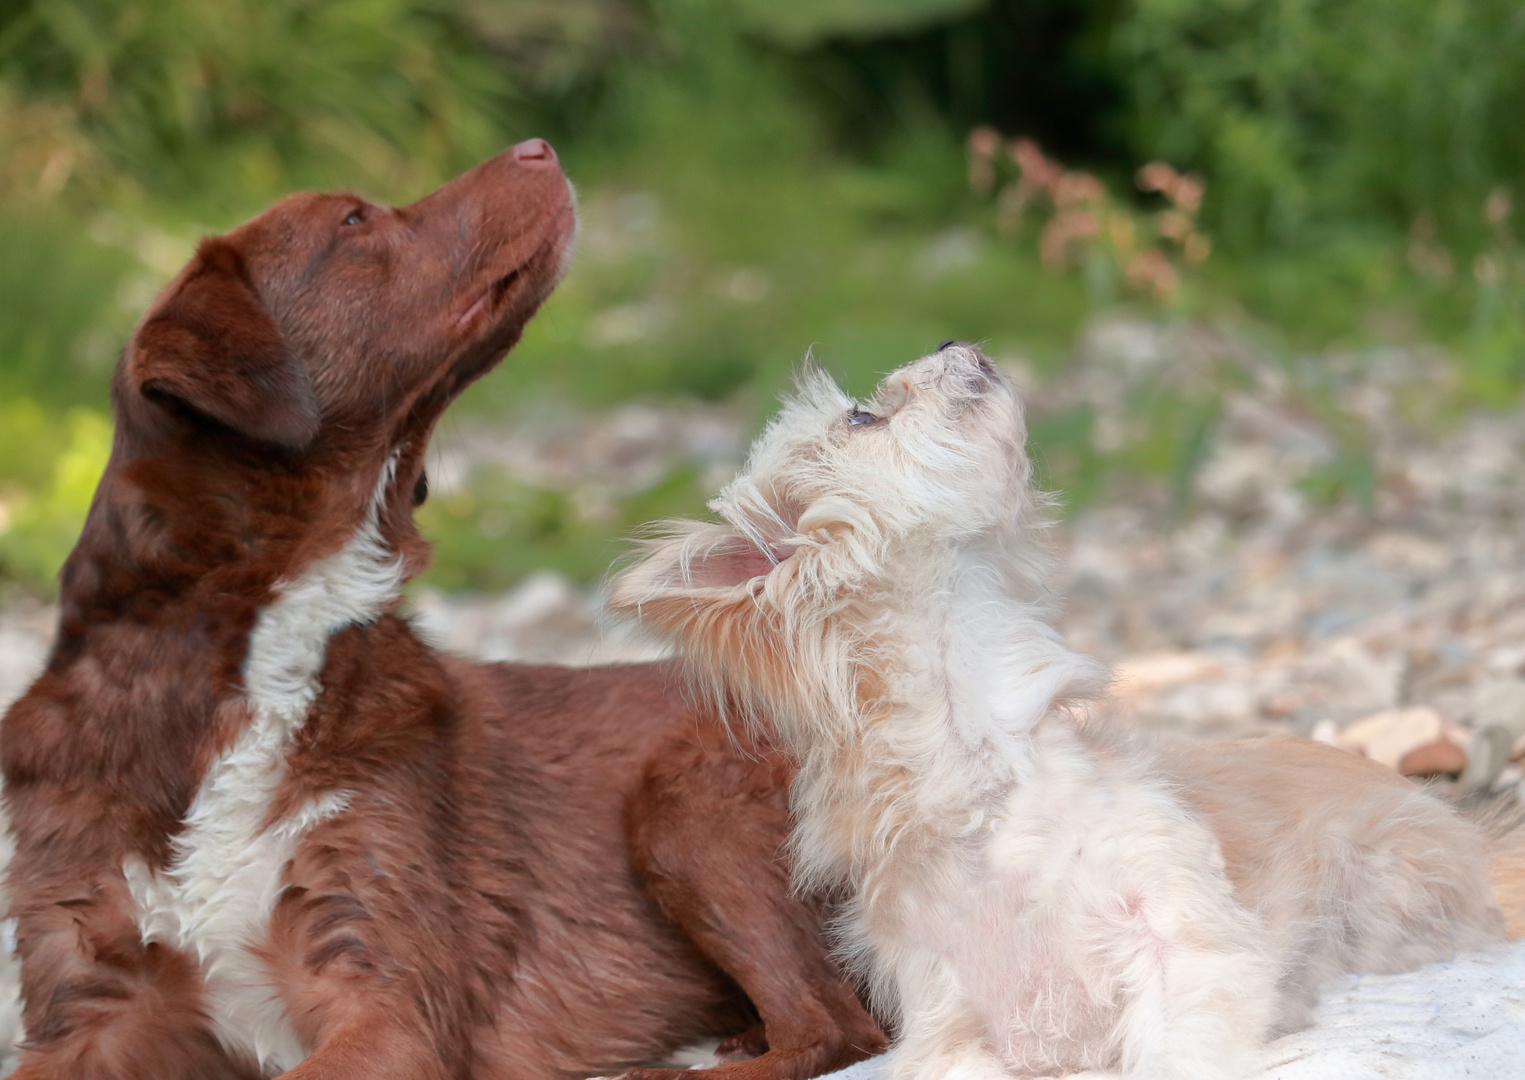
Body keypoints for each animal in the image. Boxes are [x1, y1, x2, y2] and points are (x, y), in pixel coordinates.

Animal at [2, 141, 884, 1080]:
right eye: (354, 221)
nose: (537, 146)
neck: (249, 660)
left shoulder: (384, 1001)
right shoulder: (89, 1006)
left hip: (684, 798)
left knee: (833, 1027)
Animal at [613, 347, 1518, 1080]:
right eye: (865, 416)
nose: (950, 338)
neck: (985, 776)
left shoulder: (1185, 944)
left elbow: (1176, 1052)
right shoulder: (947, 1024)